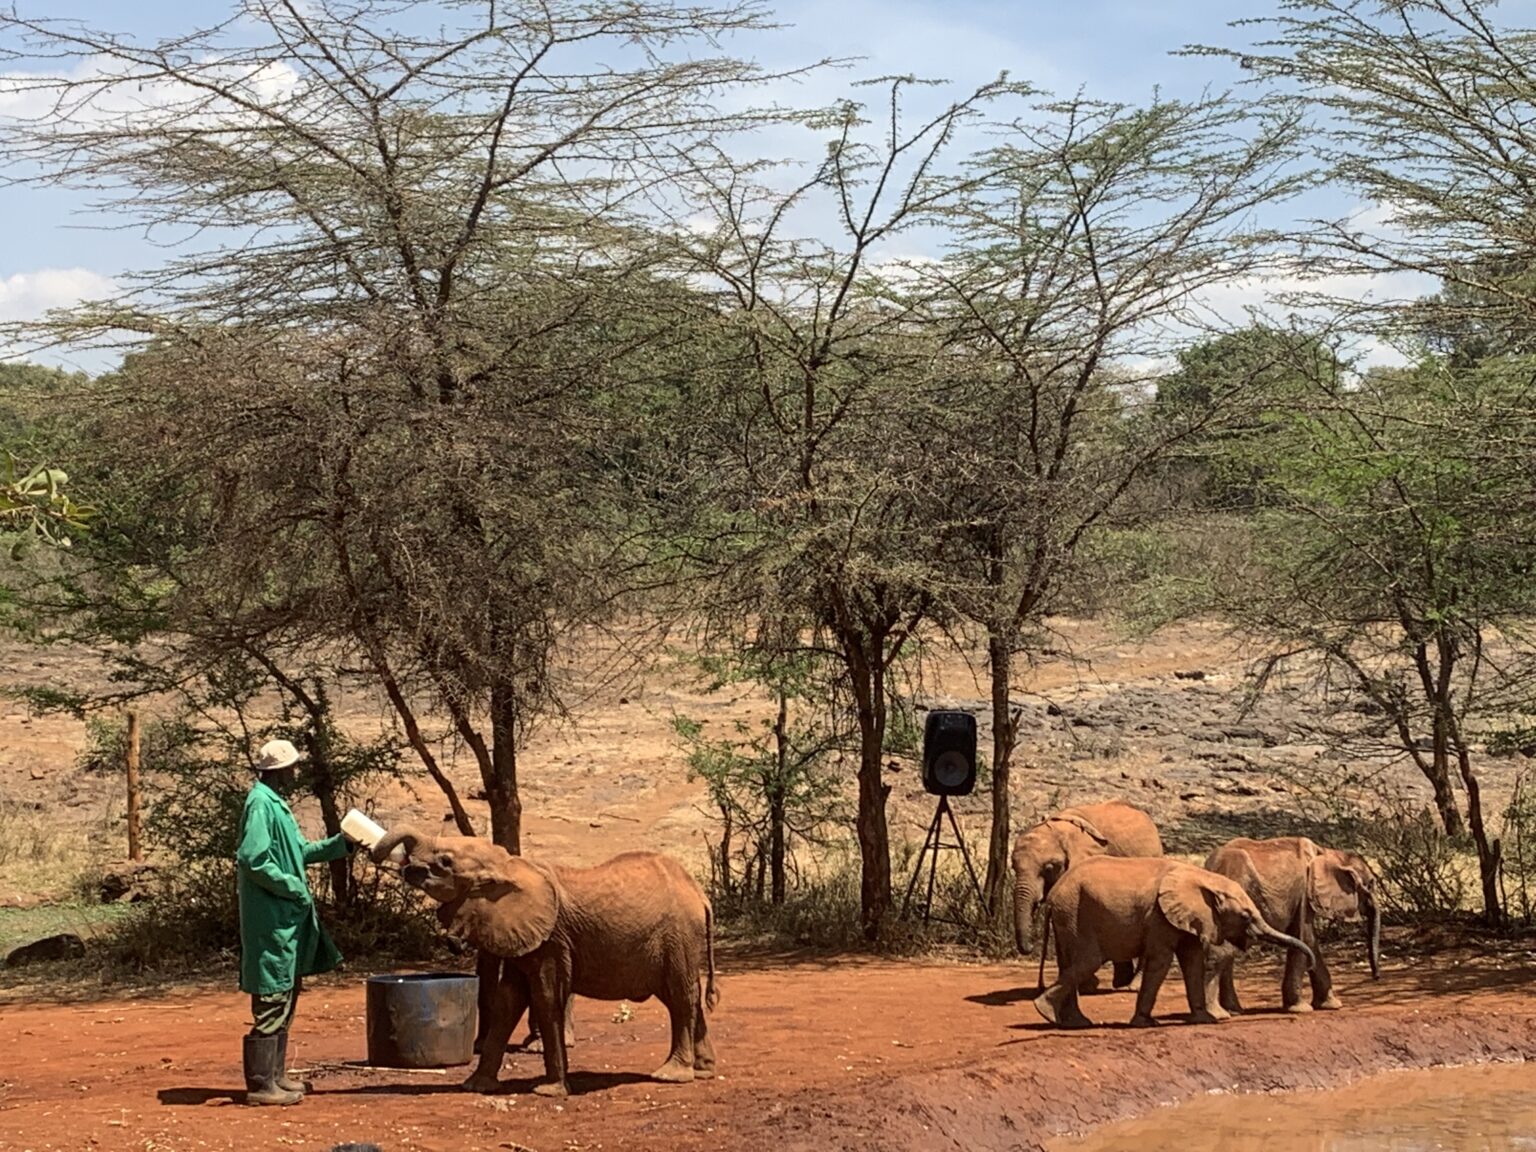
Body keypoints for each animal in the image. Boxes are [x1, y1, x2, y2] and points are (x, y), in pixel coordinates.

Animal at [372, 827, 717, 1097]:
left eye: (445, 862)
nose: (381, 858)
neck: (507, 865)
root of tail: (700, 894)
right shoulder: (520, 935)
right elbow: (508, 1001)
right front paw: (475, 1087)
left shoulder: (552, 940)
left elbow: (546, 997)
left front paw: (549, 1091)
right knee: (686, 996)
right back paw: (704, 1071)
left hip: (679, 935)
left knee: (680, 996)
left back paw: (672, 1075)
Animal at [1012, 800, 1164, 989]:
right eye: (1013, 867)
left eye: (1049, 868)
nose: (1031, 945)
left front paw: (1086, 985)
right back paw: (1120, 982)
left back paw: (1131, 986)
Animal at [1033, 855, 1315, 1029]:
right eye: (1245, 916)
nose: (1311, 963)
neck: (1205, 879)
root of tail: (1054, 895)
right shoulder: (1160, 916)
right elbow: (1162, 960)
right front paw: (1146, 1023)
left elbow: (1192, 960)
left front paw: (1203, 1020)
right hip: (1075, 914)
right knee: (1088, 961)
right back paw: (1044, 1011)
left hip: (1068, 916)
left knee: (1070, 962)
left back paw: (1072, 1022)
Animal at [1203, 836, 1380, 1014]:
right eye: (1371, 884)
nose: (1376, 977)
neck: (1327, 852)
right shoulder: (1304, 892)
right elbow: (1304, 937)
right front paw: (1301, 1009)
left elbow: (1310, 943)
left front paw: (1330, 1005)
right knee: (1223, 950)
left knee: (1228, 951)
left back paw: (1234, 1011)